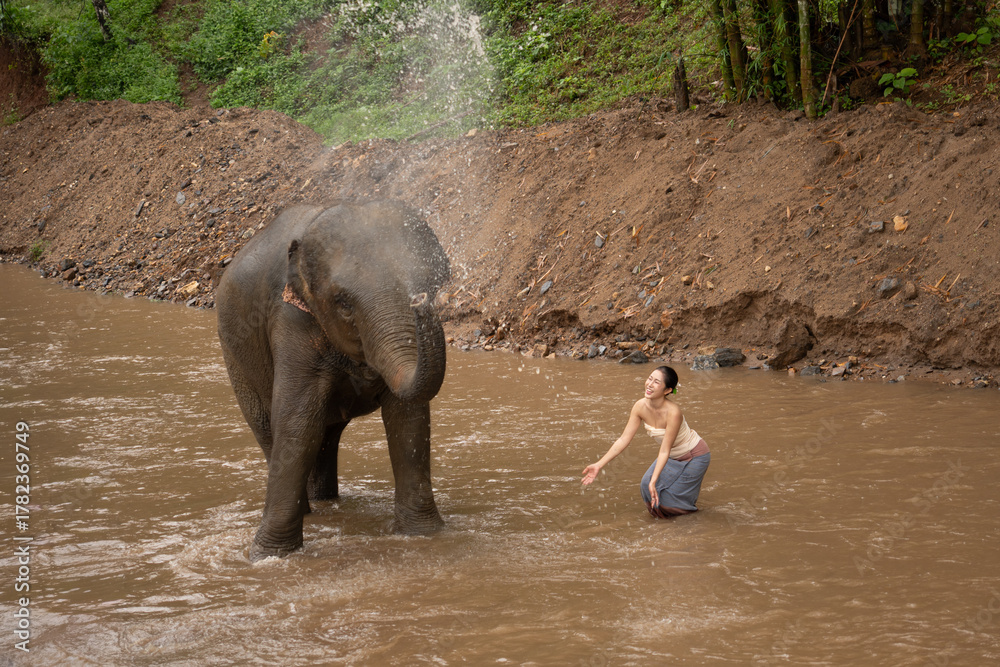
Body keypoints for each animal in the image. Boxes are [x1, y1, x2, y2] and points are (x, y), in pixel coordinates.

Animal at [215, 200, 450, 561]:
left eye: (436, 283)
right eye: (343, 305)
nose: (419, 300)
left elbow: (407, 419)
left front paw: (424, 536)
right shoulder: (291, 319)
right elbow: (297, 423)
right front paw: (266, 557)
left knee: (325, 438)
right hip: (235, 359)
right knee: (271, 430)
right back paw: (310, 511)